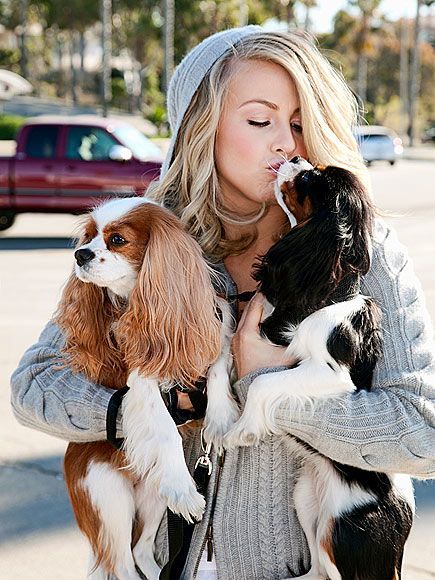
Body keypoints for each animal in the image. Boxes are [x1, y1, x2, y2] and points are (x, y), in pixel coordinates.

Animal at [57, 197, 238, 576]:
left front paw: (219, 421)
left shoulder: (216, 329)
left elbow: (216, 369)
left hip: (153, 496)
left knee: (141, 551)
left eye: (117, 240)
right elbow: (164, 427)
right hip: (108, 497)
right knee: (123, 564)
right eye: (89, 237)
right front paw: (184, 489)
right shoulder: (140, 380)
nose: (80, 254)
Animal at [225, 156, 416, 576]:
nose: (296, 157)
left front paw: (242, 430)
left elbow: (262, 383)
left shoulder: (329, 374)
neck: (322, 295)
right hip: (305, 498)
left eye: (311, 178)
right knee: (316, 570)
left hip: (343, 532)